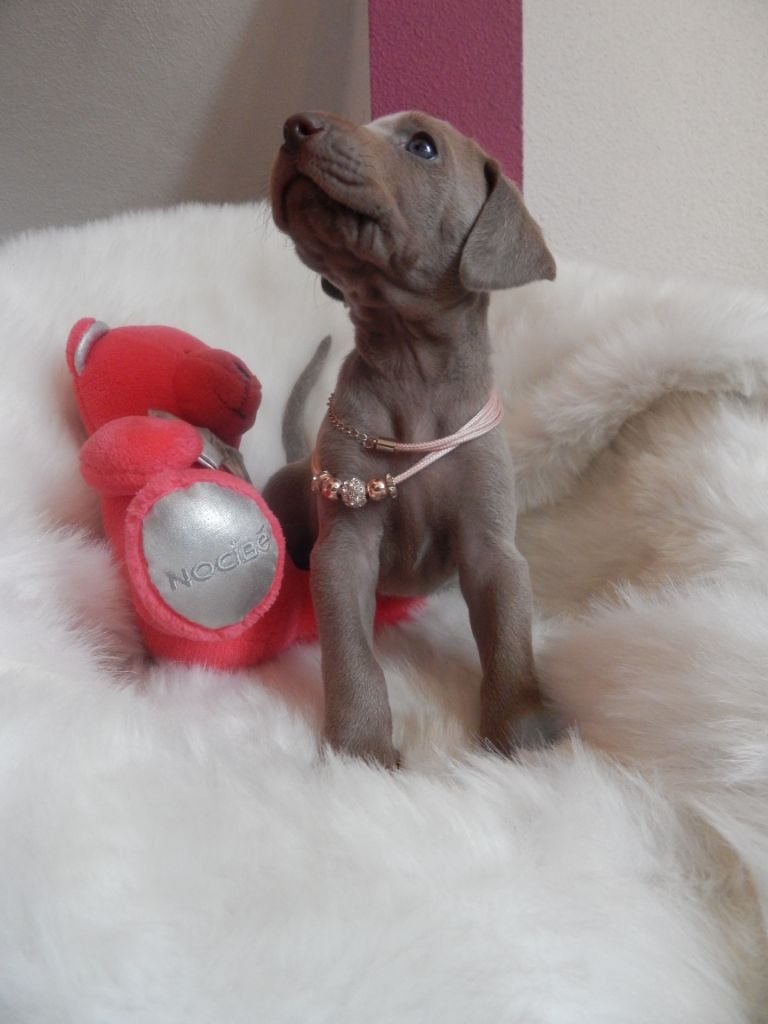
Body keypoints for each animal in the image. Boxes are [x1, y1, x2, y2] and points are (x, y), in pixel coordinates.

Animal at [265, 110, 558, 768]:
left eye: (422, 146)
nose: (295, 125)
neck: (413, 370)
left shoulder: (492, 546)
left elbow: (509, 638)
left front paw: (524, 734)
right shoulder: (344, 550)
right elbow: (351, 654)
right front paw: (360, 749)